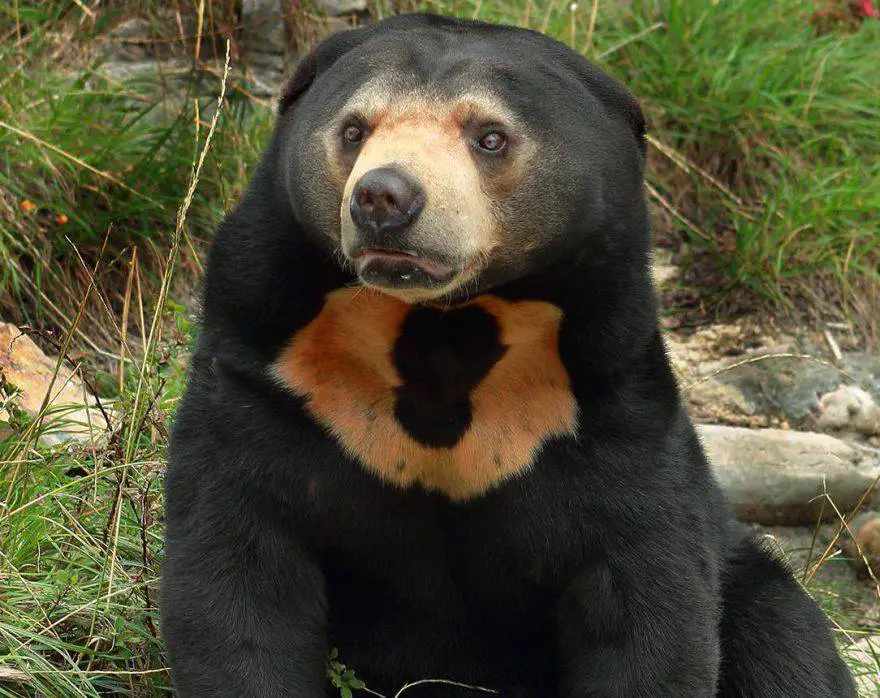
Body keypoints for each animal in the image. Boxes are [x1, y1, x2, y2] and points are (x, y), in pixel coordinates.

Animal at [159, 12, 857, 698]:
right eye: (354, 129)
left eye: (489, 137)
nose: (383, 198)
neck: (442, 326)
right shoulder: (274, 374)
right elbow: (241, 569)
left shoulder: (606, 397)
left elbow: (643, 591)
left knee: (784, 642)